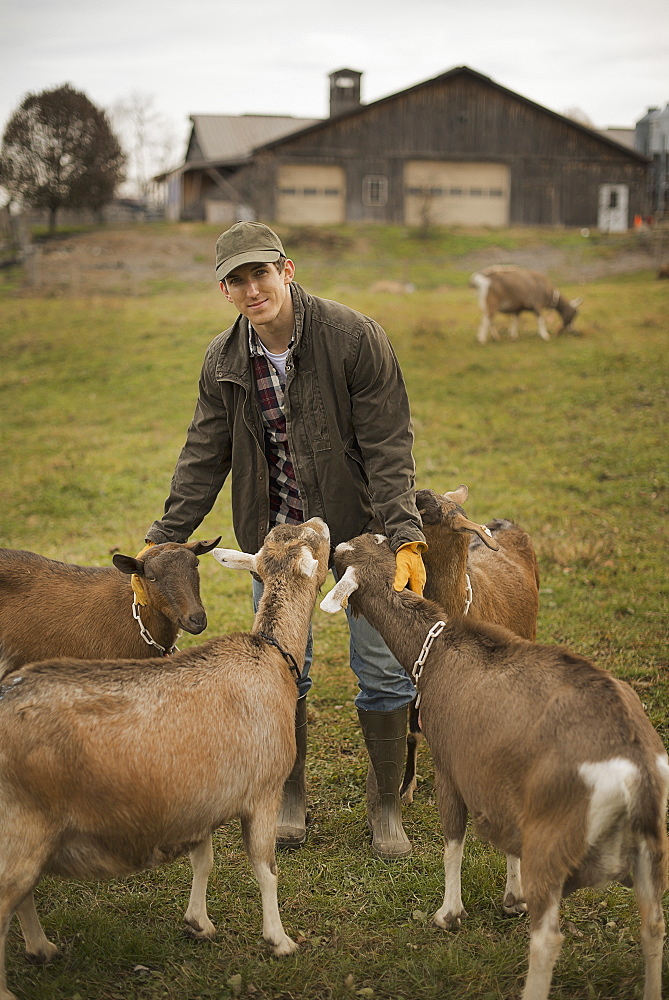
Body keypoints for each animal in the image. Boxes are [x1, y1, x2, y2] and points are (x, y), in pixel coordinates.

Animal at [320, 536, 664, 1000]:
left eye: (342, 558)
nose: (333, 547)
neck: (437, 648)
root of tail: (633, 767)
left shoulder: (452, 768)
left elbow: (453, 840)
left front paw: (448, 913)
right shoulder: (503, 783)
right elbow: (507, 846)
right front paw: (512, 898)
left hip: (554, 838)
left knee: (548, 938)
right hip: (648, 849)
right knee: (653, 927)